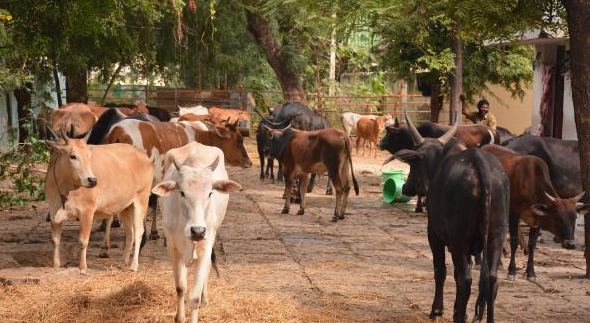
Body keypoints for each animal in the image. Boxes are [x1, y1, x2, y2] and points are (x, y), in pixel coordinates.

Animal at [45, 128, 154, 274]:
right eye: (73, 156)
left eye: (89, 156)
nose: (92, 180)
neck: (65, 188)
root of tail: (144, 155)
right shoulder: (53, 212)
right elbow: (55, 240)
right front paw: (56, 265)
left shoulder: (87, 212)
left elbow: (83, 241)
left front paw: (82, 267)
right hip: (125, 207)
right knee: (130, 232)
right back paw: (123, 262)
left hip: (141, 200)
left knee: (138, 231)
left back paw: (133, 265)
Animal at [155, 143, 245, 322]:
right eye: (181, 192)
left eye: (210, 192)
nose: (197, 230)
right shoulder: (173, 249)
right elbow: (180, 288)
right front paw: (179, 317)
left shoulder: (205, 247)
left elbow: (194, 297)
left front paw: (198, 301)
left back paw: (205, 297)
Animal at [396, 112, 512, 322]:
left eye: (414, 161)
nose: (406, 188)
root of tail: (481, 163)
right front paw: (461, 311)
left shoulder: (434, 234)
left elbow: (441, 271)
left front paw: (437, 310)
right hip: (497, 236)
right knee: (491, 279)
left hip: (459, 239)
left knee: (465, 280)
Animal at [484, 146, 588, 282]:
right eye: (558, 218)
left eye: (575, 218)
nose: (571, 244)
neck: (530, 183)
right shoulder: (513, 213)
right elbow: (514, 241)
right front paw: (512, 271)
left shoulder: (536, 220)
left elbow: (532, 245)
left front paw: (531, 273)